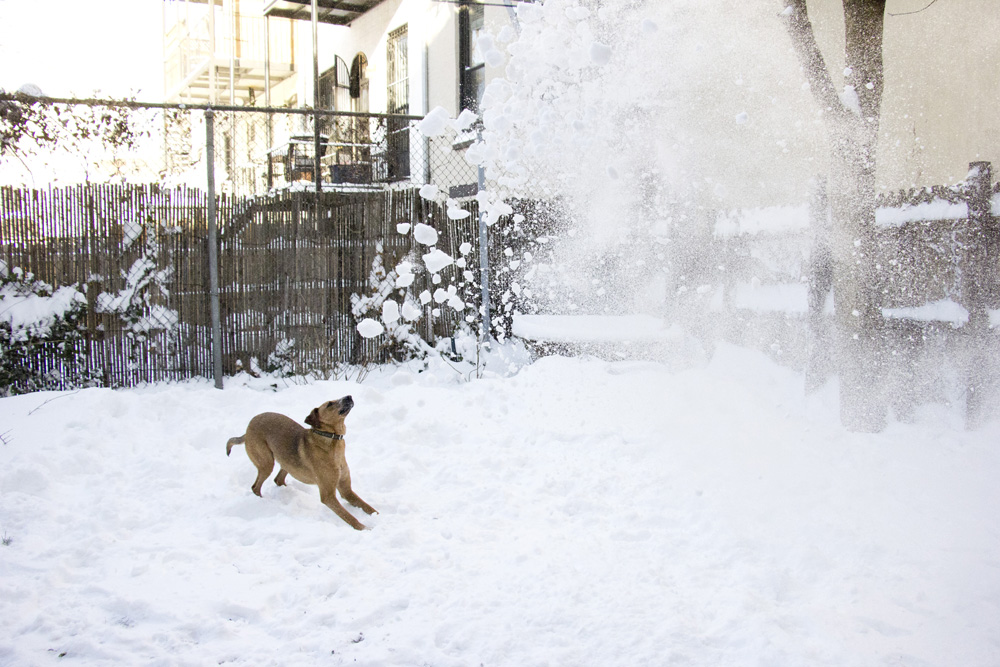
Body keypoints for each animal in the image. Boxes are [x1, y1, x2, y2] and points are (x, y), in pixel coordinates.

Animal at [225, 394, 376, 528]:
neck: (332, 440)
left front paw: (377, 518)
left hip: (286, 461)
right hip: (266, 463)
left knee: (278, 479)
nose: (349, 396)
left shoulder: (346, 490)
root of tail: (248, 427)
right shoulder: (328, 496)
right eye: (329, 404)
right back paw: (265, 504)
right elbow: (349, 517)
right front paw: (365, 528)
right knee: (256, 487)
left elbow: (368, 507)